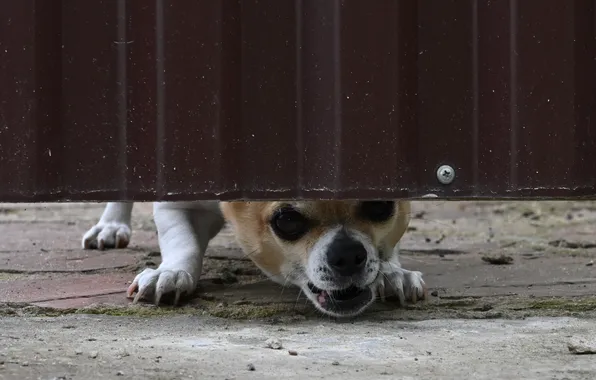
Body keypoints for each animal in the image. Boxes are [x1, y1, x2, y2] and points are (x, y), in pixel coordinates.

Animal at [85, 202, 428, 318]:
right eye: (287, 221)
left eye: (381, 206)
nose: (347, 253)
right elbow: (183, 243)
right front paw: (170, 273)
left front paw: (393, 273)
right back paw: (111, 225)